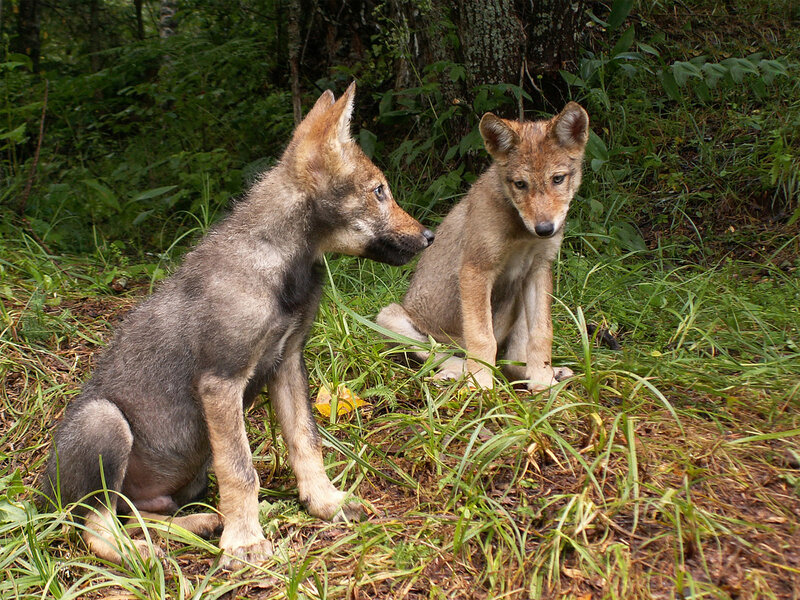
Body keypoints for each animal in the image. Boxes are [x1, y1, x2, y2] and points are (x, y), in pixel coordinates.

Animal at [41, 83, 434, 568]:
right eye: (379, 191)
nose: (429, 236)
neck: (286, 268)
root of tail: (41, 500)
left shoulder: (288, 363)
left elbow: (306, 443)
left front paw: (326, 503)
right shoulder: (221, 381)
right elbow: (242, 471)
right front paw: (245, 542)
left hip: (183, 481)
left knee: (136, 513)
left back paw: (198, 524)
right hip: (104, 422)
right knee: (96, 528)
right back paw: (144, 554)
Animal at [377, 102, 589, 392]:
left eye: (557, 179)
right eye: (520, 184)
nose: (544, 229)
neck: (522, 234)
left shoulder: (538, 269)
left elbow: (542, 334)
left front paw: (543, 382)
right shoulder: (475, 270)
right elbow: (482, 338)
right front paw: (481, 387)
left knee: (511, 362)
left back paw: (549, 374)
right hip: (389, 317)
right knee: (442, 355)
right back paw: (459, 375)